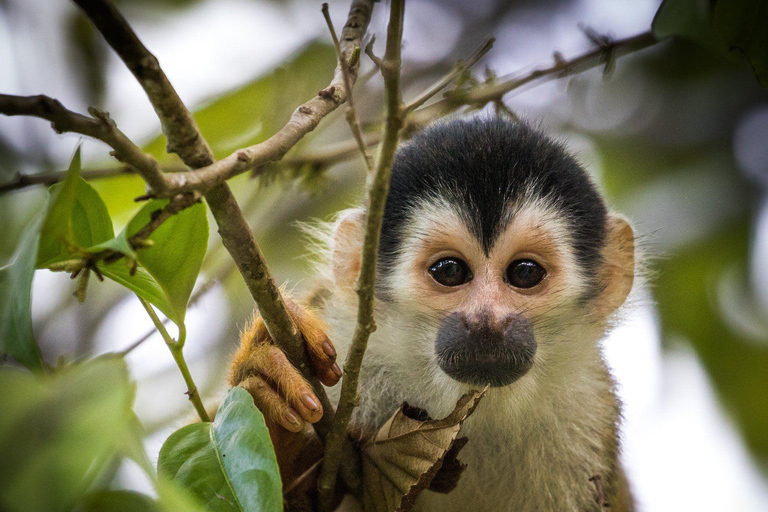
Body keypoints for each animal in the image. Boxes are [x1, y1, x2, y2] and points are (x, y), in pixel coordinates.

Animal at [228, 117, 636, 512]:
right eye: (449, 270)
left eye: (525, 273)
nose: (486, 320)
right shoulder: (339, 337)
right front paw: (262, 383)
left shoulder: (590, 412)